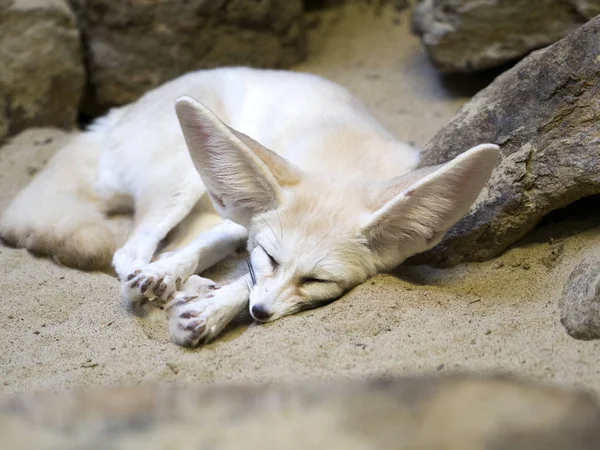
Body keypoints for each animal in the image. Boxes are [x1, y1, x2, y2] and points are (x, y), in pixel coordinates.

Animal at [0, 68, 500, 346]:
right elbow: (223, 257)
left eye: (318, 281)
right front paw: (180, 287)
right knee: (131, 250)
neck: (343, 164)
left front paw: (211, 308)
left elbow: (242, 279)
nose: (259, 315)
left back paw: (190, 287)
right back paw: (165, 277)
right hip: (187, 181)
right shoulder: (243, 220)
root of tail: (111, 118)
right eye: (271, 257)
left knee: (160, 246)